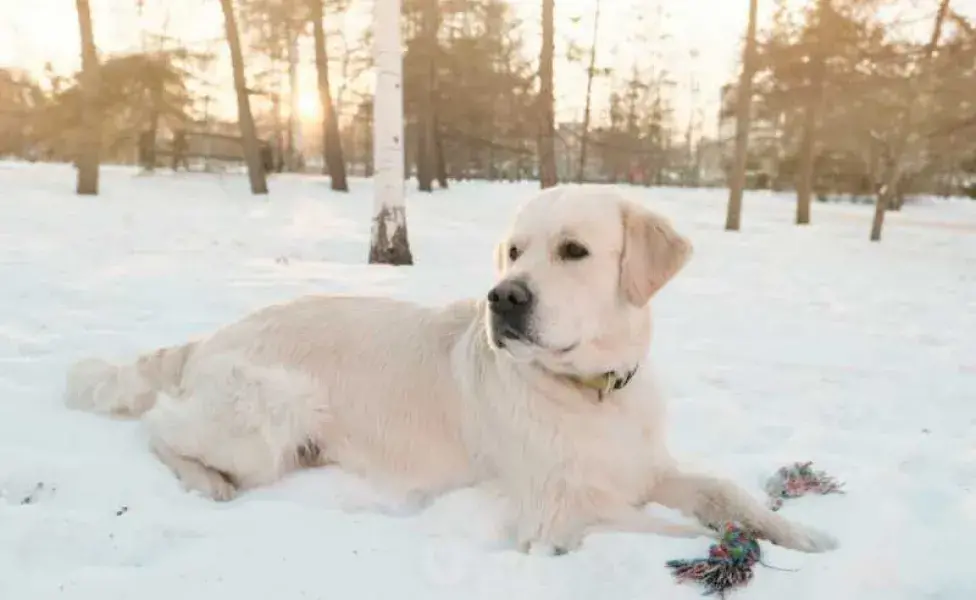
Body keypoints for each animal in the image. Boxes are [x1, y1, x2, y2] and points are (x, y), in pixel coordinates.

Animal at [65, 185, 836, 556]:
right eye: (515, 250)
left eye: (574, 251)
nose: (504, 298)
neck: (591, 394)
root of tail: (208, 338)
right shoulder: (558, 511)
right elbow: (687, 532)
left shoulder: (646, 468)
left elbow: (726, 494)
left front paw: (802, 535)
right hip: (265, 417)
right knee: (158, 429)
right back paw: (206, 481)